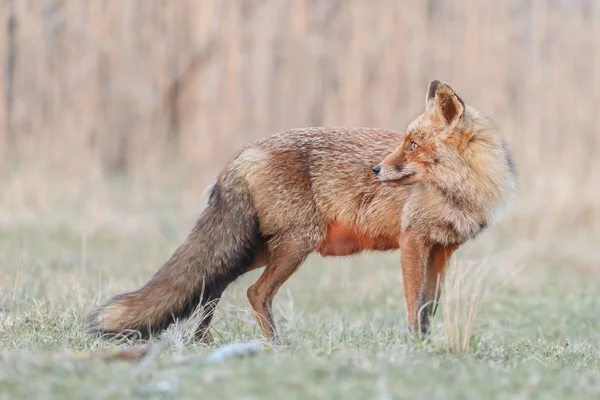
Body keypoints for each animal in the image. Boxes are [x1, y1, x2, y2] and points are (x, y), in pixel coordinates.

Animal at [86, 80, 516, 340]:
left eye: (412, 145)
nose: (376, 170)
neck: (461, 191)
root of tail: (244, 153)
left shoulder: (442, 250)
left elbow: (431, 306)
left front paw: (427, 344)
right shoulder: (413, 241)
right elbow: (416, 304)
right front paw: (414, 346)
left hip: (263, 246)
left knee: (213, 281)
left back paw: (203, 340)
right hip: (293, 244)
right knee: (254, 292)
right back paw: (274, 346)